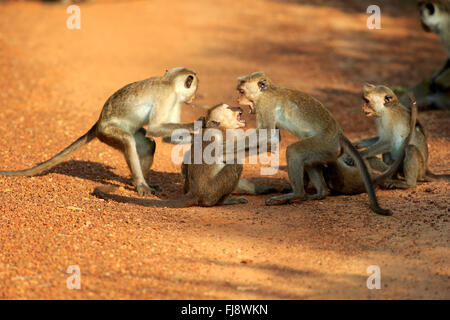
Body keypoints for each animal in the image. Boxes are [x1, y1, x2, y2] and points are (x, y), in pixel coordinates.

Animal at [0, 67, 200, 195]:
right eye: (195, 89)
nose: (193, 99)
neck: (169, 81)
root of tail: (99, 122)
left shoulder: (175, 100)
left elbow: (164, 136)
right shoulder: (167, 97)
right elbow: (155, 128)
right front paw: (197, 125)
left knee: (148, 144)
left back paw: (135, 181)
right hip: (108, 132)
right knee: (128, 140)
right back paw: (140, 184)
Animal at [95, 103, 272, 208]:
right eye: (229, 108)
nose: (238, 108)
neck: (221, 128)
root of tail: (195, 192)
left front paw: (261, 189)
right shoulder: (225, 137)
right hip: (211, 191)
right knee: (235, 164)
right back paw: (221, 202)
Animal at [237, 71, 392, 216]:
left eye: (242, 91)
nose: (238, 99)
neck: (266, 92)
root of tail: (339, 134)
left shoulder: (265, 105)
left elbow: (267, 133)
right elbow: (273, 137)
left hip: (325, 145)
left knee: (294, 151)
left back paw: (297, 194)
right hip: (325, 152)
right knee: (309, 162)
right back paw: (320, 193)